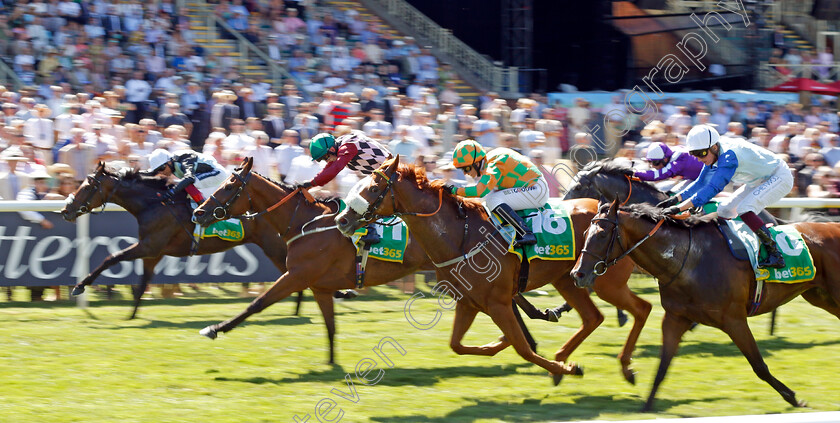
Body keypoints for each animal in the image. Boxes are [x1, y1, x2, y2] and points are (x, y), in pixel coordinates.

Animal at [60, 164, 290, 320]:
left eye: (88, 186)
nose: (65, 210)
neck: (155, 203)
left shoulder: (149, 246)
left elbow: (111, 258)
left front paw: (79, 286)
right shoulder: (153, 252)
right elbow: (141, 285)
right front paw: (131, 316)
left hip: (273, 246)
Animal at [334, 158, 656, 384]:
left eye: (373, 188)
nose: (341, 219)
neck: (460, 235)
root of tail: (617, 211)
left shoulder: (498, 302)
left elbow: (523, 349)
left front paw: (567, 368)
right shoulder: (468, 302)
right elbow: (458, 345)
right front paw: (505, 344)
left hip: (606, 281)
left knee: (642, 309)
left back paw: (623, 367)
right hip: (569, 278)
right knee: (593, 318)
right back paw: (563, 358)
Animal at [572, 200, 840, 412]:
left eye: (602, 234)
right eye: (585, 231)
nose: (578, 274)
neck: (688, 259)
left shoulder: (734, 319)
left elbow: (759, 366)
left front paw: (793, 397)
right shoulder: (675, 318)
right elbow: (662, 366)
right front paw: (646, 406)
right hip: (820, 296)